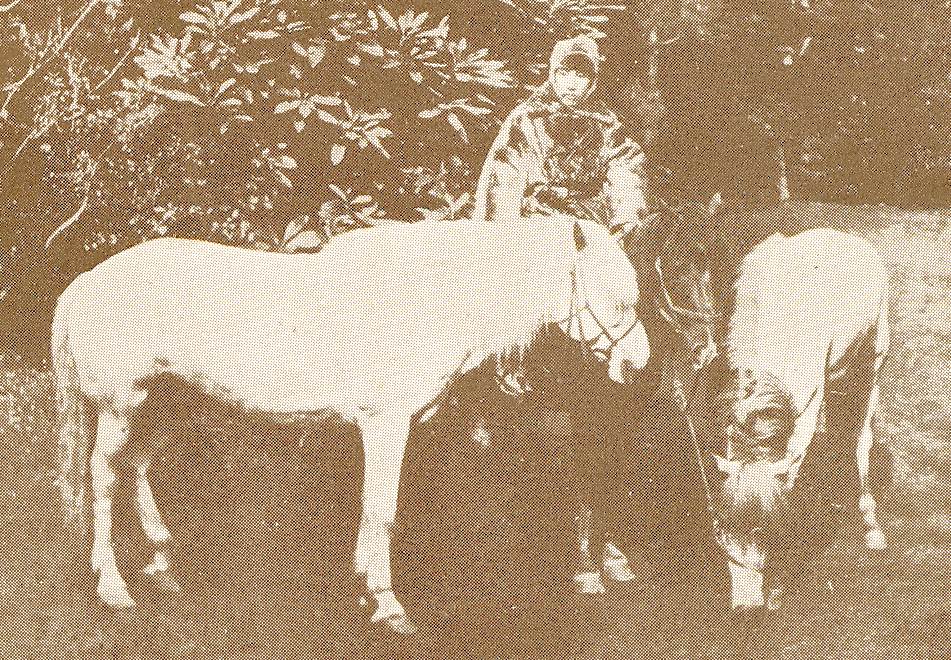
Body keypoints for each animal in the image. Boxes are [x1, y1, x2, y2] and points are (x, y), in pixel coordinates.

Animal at [51, 216, 651, 635]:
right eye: (616, 298)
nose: (638, 363)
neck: (427, 300)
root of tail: (83, 283)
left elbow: (371, 508)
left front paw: (365, 588)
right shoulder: (387, 423)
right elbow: (382, 510)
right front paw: (388, 604)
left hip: (154, 400)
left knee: (136, 466)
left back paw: (162, 562)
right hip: (121, 405)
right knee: (103, 477)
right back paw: (113, 586)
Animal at [700, 226, 891, 610]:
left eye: (763, 531)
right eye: (723, 529)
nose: (746, 607)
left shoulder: (805, 408)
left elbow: (792, 472)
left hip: (874, 357)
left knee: (861, 437)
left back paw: (870, 522)